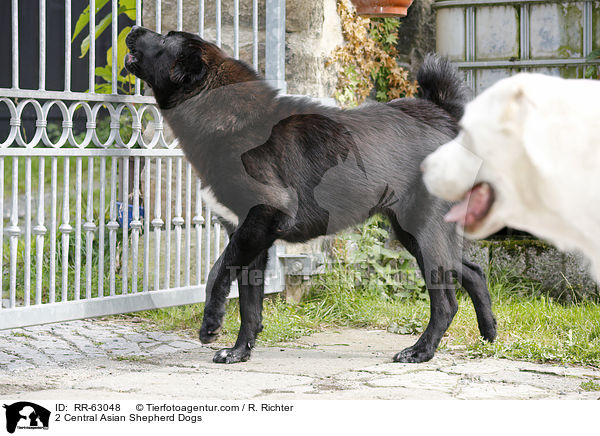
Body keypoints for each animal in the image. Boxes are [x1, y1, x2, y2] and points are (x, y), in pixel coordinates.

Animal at [124, 25, 494, 362]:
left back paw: (421, 351)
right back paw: (489, 334)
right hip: (416, 234)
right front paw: (239, 352)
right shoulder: (251, 239)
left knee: (446, 302)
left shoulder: (261, 220)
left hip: (423, 230)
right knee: (473, 272)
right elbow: (249, 305)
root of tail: (442, 114)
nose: (133, 28)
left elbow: (217, 271)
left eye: (165, 38)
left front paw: (211, 324)